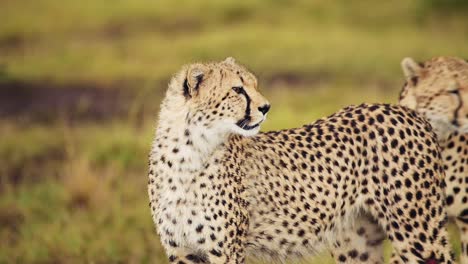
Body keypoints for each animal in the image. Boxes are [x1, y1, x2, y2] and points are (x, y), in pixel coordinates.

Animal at [147, 58, 454, 264]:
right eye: (237, 90)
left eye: (254, 85)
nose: (265, 107)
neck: (188, 150)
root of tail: (404, 111)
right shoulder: (182, 252)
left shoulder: (225, 252)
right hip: (357, 241)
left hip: (419, 234)